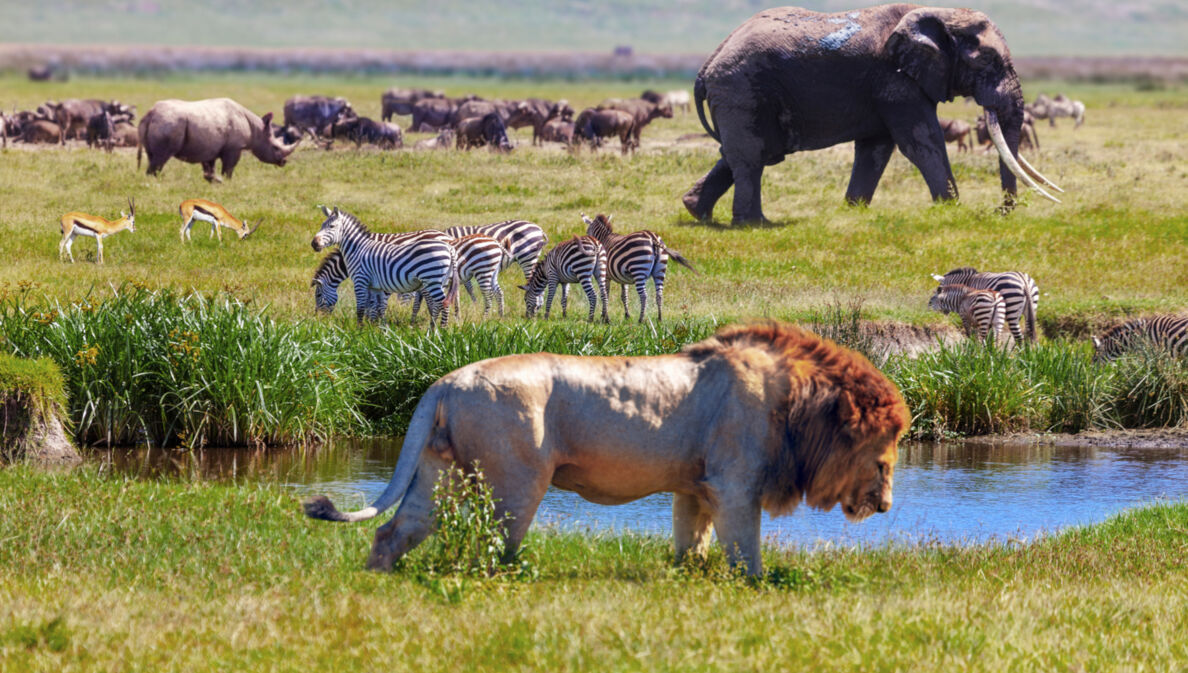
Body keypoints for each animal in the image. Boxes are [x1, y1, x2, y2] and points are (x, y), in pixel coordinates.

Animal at [304, 321, 907, 575]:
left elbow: (691, 543)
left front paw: (687, 579)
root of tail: (445, 381)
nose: (886, 507)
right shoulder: (735, 484)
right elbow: (746, 552)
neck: (798, 404)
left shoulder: (696, 487)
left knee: (395, 529)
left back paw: (378, 577)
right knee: (493, 548)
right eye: (886, 452)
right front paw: (753, 587)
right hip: (517, 480)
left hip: (440, 470)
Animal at [311, 208, 458, 330]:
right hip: (441, 280)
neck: (358, 249)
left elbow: (365, 306)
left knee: (440, 302)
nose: (318, 319)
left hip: (431, 279)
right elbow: (377, 306)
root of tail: (448, 243)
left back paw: (439, 330)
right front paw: (377, 328)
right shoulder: (377, 283)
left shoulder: (362, 280)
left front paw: (363, 329)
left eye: (318, 295)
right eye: (321, 225)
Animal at [684, 3, 1064, 222]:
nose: (1002, 211)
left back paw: (697, 212)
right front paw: (952, 210)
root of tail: (705, 67)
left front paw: (852, 211)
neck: (937, 12)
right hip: (740, 89)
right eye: (988, 60)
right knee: (752, 156)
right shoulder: (895, 78)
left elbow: (876, 148)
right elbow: (921, 141)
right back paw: (753, 225)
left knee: (746, 153)